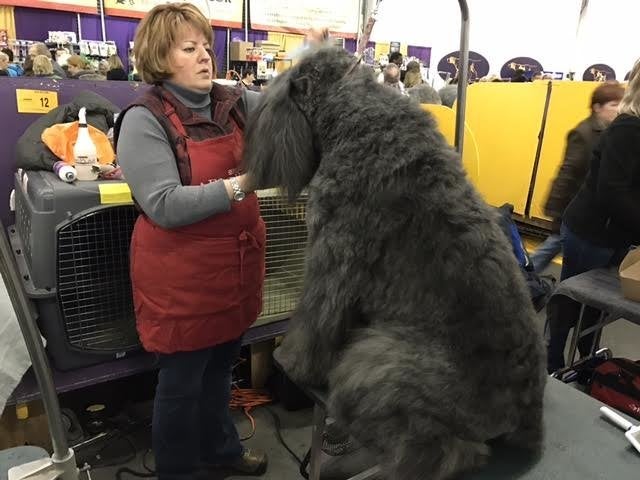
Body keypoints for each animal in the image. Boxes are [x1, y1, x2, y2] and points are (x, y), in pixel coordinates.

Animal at [242, 47, 548, 480]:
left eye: (283, 90)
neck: (353, 115)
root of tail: (529, 417)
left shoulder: (334, 256)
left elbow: (315, 319)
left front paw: (294, 362)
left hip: (381, 361)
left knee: (449, 450)